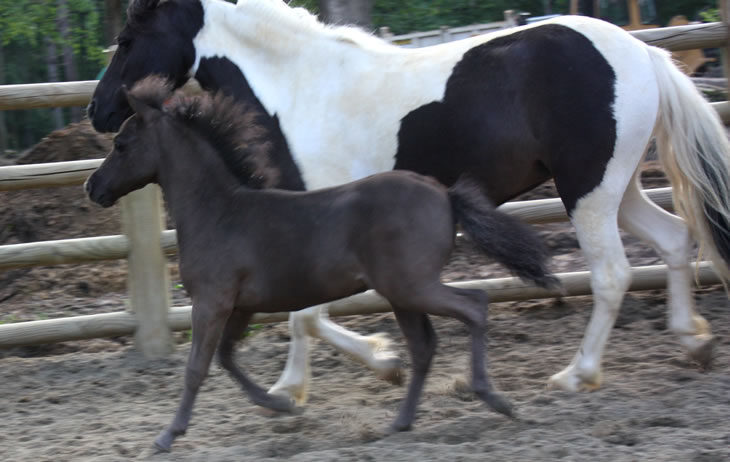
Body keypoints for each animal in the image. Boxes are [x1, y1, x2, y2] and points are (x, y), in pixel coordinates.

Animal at [89, 0, 728, 398]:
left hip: (589, 192)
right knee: (675, 239)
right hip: (615, 187)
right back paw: (693, 342)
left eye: (127, 38)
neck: (296, 89)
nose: (99, 110)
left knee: (613, 274)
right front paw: (322, 380)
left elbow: (307, 312)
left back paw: (577, 375)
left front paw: (343, 375)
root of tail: (643, 53)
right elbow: (306, 312)